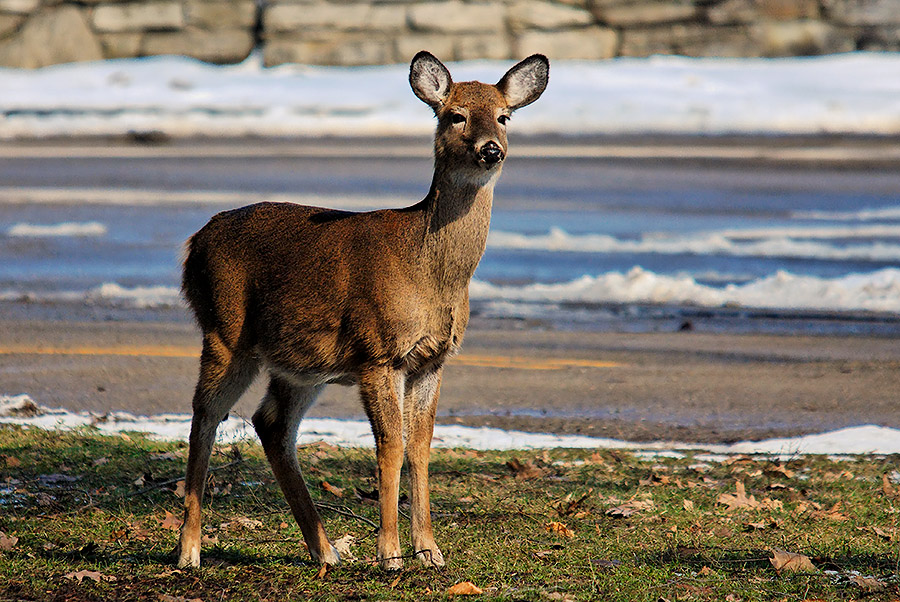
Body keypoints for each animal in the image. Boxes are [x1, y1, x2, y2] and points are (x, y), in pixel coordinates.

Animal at [174, 50, 548, 568]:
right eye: (455, 115)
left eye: (504, 116)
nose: (491, 149)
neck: (432, 274)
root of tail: (194, 243)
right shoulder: (378, 352)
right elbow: (390, 445)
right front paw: (390, 553)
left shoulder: (432, 360)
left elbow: (421, 445)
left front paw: (430, 550)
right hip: (225, 330)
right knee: (205, 417)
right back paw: (188, 550)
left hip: (301, 363)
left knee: (270, 423)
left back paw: (325, 550)